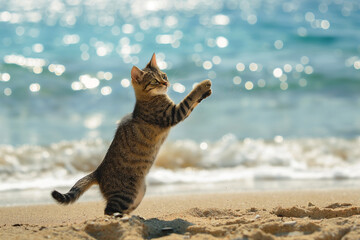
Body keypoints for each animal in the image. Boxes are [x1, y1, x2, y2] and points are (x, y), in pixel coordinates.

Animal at [50, 53, 211, 217]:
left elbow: (193, 102)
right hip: (126, 194)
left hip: (139, 193)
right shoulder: (173, 113)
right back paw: (121, 218)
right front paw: (203, 84)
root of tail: (98, 171)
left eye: (164, 75)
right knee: (108, 211)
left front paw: (206, 91)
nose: (166, 83)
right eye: (155, 81)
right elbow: (190, 98)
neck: (149, 98)